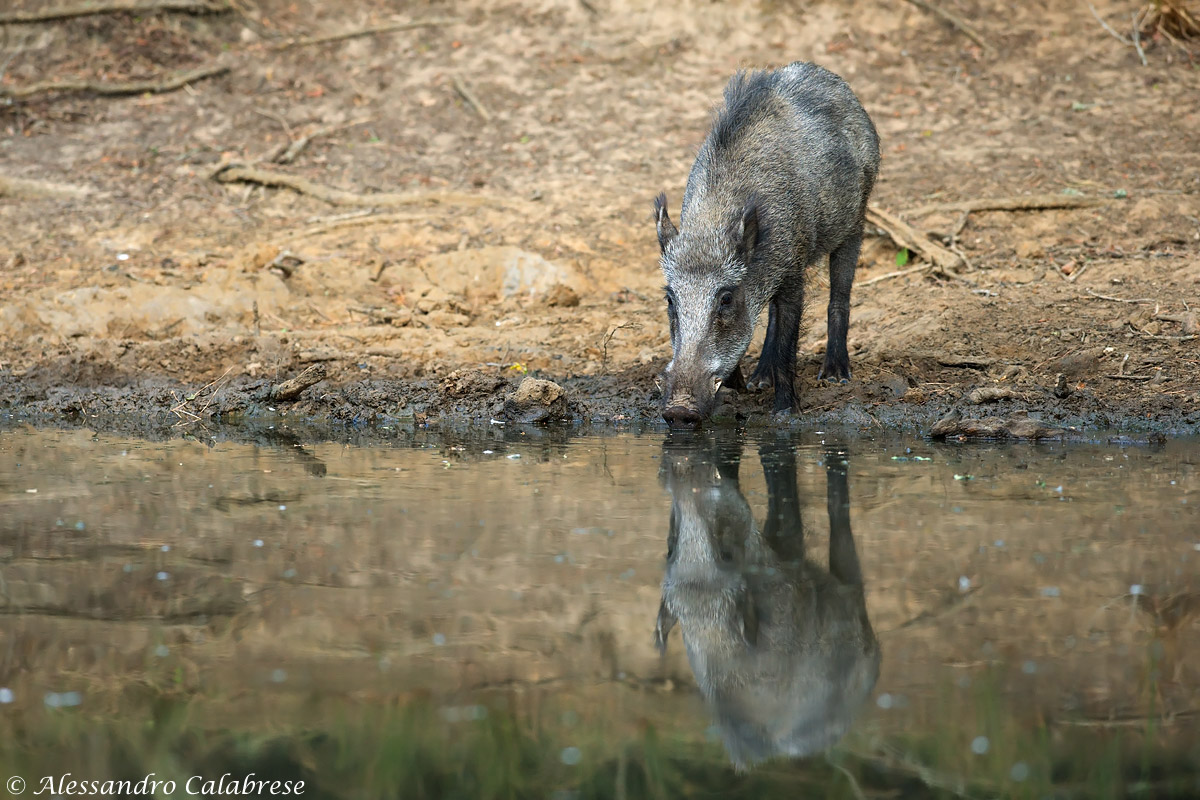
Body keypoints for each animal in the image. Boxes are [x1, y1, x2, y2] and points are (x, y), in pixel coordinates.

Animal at [654, 61, 880, 426]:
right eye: (670, 299)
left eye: (726, 298)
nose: (678, 411)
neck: (713, 224)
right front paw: (740, 389)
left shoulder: (793, 270)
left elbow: (789, 341)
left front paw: (786, 411)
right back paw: (760, 379)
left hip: (855, 221)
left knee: (839, 296)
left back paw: (834, 375)